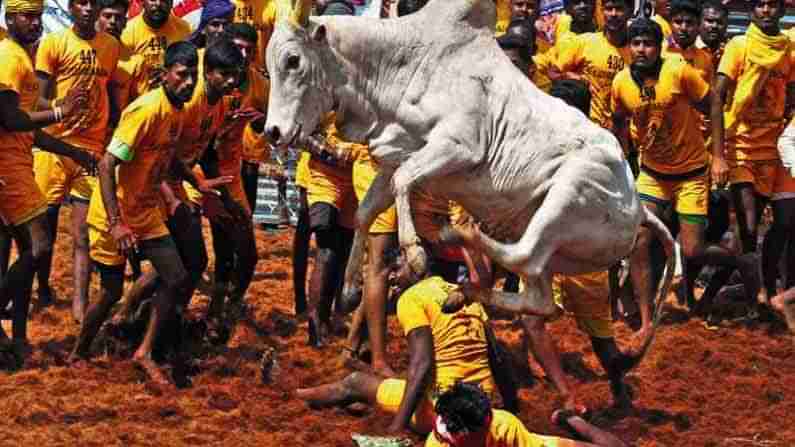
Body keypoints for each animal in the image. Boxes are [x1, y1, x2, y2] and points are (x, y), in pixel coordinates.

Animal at [266, 0, 672, 344]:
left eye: (293, 60)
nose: (273, 131)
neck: (401, 68)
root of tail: (639, 208)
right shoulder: (395, 156)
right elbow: (367, 210)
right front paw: (351, 290)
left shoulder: (459, 146)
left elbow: (403, 182)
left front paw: (414, 257)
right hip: (553, 247)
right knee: (541, 300)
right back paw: (461, 293)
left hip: (569, 194)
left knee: (521, 257)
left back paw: (458, 236)